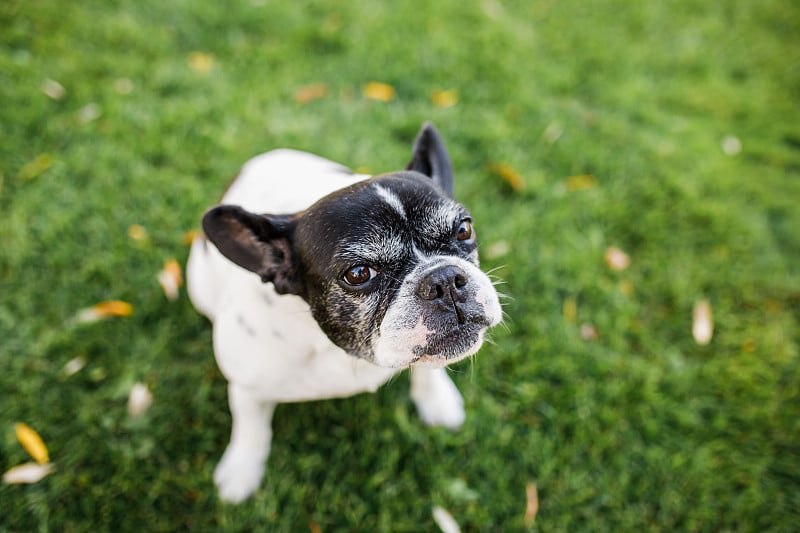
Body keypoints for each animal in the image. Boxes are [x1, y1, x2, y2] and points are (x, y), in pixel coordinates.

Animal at [185, 122, 504, 500]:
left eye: (464, 229)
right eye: (358, 274)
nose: (443, 280)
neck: (335, 348)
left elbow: (428, 369)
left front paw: (437, 400)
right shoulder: (247, 387)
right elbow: (251, 429)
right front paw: (241, 472)